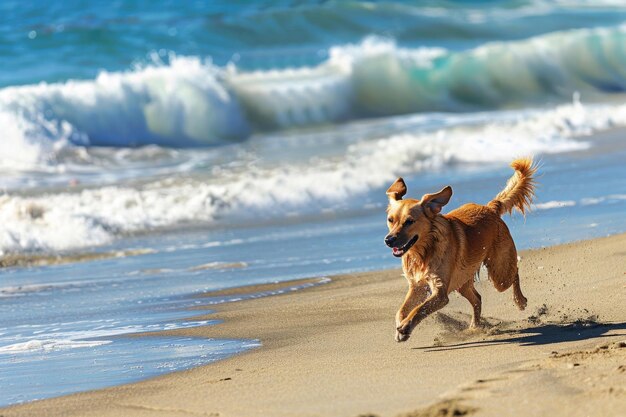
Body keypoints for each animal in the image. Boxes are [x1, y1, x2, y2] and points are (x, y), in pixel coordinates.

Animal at [382, 158, 532, 340]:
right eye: (390, 220)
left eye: (409, 221)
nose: (389, 240)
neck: (423, 251)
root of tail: (490, 207)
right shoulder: (416, 286)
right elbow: (402, 310)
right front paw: (401, 327)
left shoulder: (440, 293)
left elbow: (419, 309)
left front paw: (405, 327)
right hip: (462, 281)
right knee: (477, 299)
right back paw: (475, 326)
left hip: (499, 274)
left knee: (515, 271)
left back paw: (520, 300)